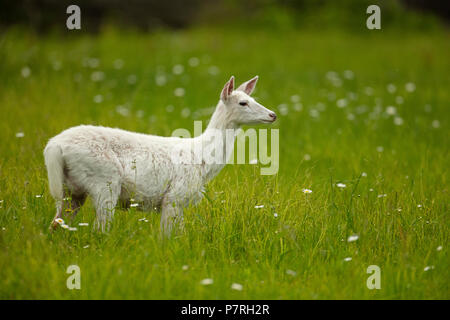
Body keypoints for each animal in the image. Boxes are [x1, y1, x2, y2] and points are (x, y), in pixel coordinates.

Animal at [45, 75, 278, 235]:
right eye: (243, 103)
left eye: (252, 98)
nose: (272, 115)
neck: (203, 158)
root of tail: (54, 147)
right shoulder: (174, 196)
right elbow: (166, 237)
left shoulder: (180, 202)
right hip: (104, 181)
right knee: (99, 228)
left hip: (71, 189)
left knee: (56, 223)